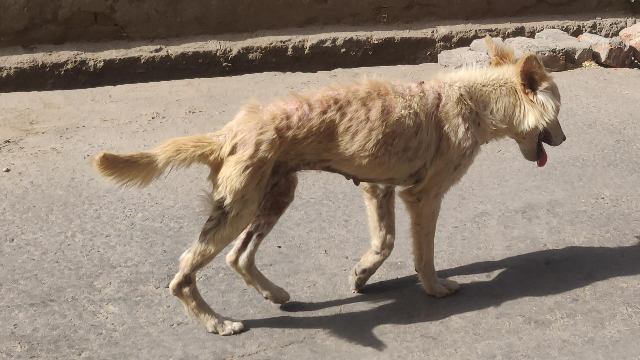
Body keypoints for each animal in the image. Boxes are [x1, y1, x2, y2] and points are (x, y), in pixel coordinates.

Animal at [94, 38, 564, 334]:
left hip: (272, 196)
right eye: (558, 113)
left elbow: (384, 243)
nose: (563, 140)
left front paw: (361, 274)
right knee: (184, 274)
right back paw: (217, 323)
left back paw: (274, 293)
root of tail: (230, 132)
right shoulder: (422, 196)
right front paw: (434, 289)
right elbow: (423, 255)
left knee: (238, 257)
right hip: (239, 208)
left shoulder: (378, 187)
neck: (473, 102)